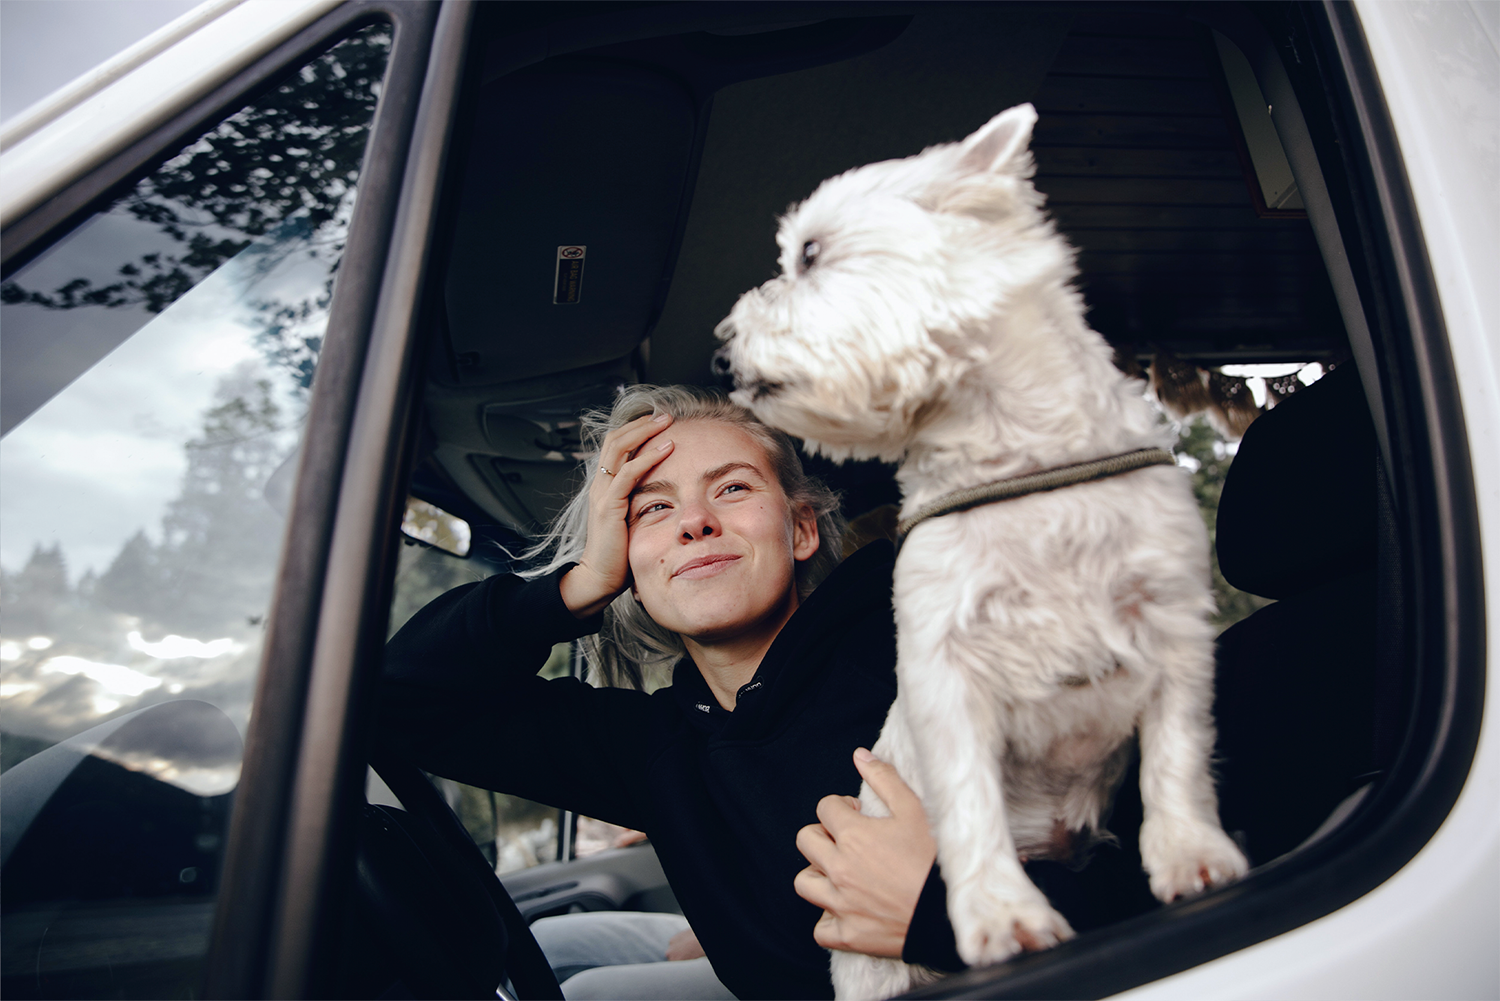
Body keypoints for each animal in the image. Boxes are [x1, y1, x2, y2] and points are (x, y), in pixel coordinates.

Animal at [708, 103, 1248, 1001]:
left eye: (811, 253)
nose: (720, 352)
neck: (1018, 464)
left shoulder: (1173, 622)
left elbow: (1179, 754)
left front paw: (1193, 856)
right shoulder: (944, 661)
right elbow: (967, 801)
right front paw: (1002, 914)